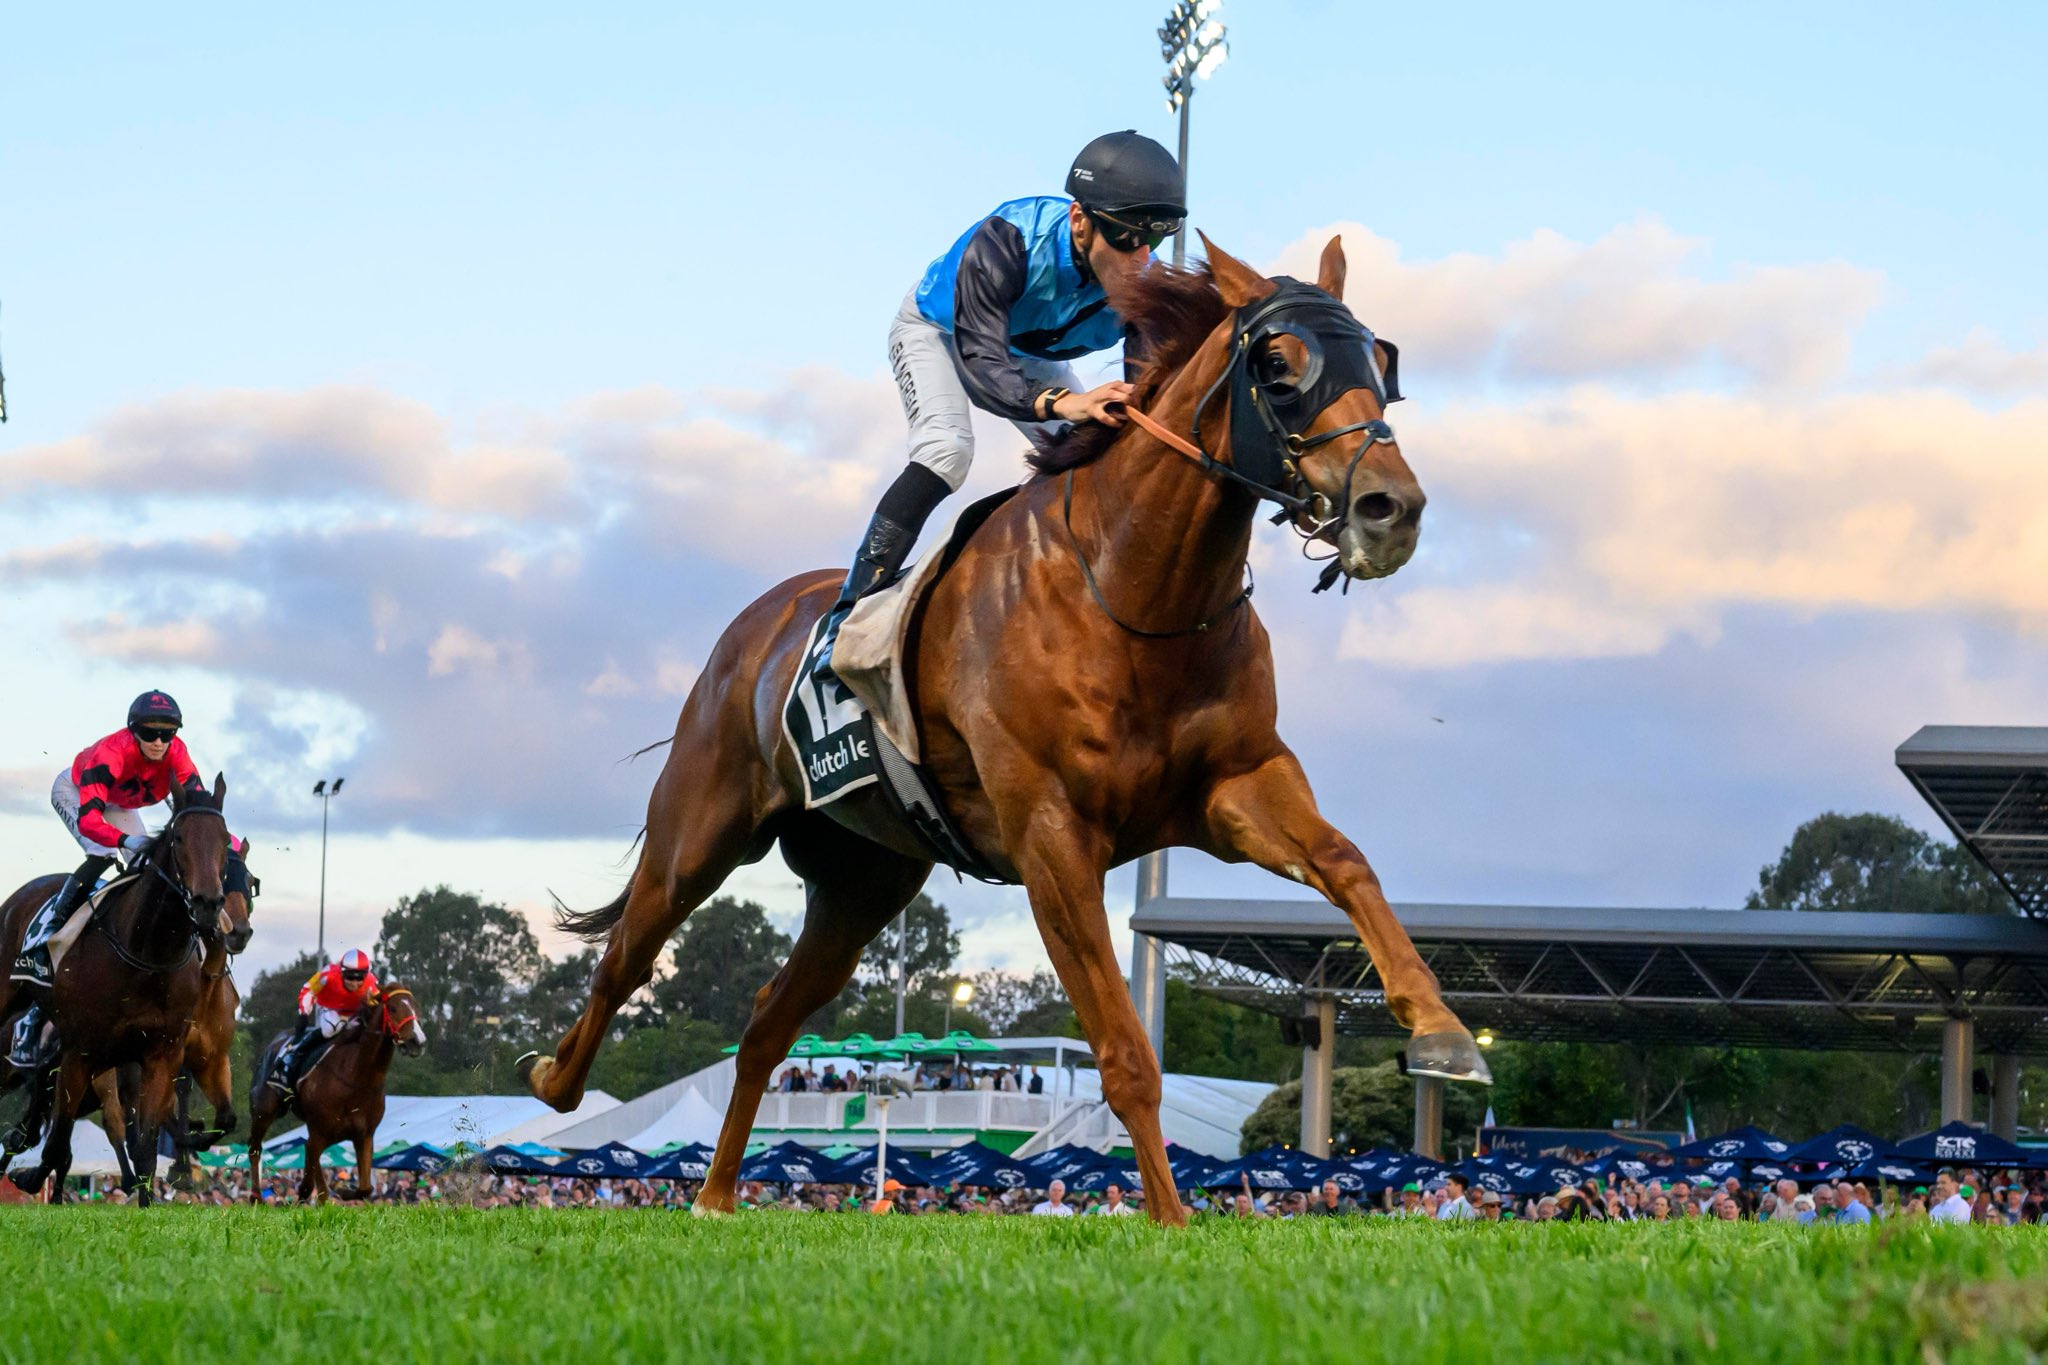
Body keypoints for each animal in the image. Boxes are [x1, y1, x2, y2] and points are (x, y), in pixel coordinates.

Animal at [0, 778, 234, 1203]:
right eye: (178, 838)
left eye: (225, 840)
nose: (208, 903)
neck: (145, 954)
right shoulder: (80, 1054)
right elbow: (58, 1145)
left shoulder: (161, 1055)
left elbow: (144, 1152)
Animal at [245, 984, 426, 1203]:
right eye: (392, 1008)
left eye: (416, 1006)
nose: (418, 1041)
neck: (357, 1079)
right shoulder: (318, 1132)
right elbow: (311, 1182)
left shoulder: (364, 1136)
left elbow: (365, 1188)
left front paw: (343, 1190)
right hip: (264, 1111)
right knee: (255, 1148)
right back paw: (256, 1196)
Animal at [524, 236, 1487, 1227]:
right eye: (1279, 365)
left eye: (1381, 363)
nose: (1391, 508)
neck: (1132, 592)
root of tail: (758, 622)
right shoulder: (1051, 834)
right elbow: (1124, 1053)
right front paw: (1172, 1218)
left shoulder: (1235, 785)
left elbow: (1347, 863)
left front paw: (1443, 1030)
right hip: (703, 824)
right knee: (628, 956)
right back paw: (557, 1079)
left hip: (861, 883)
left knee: (765, 1020)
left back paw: (716, 1194)